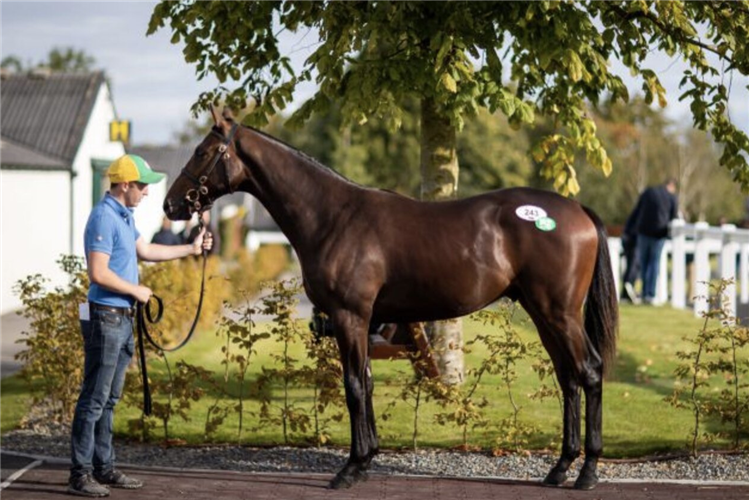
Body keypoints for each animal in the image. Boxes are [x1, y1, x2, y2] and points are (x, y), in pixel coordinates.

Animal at [165, 107, 620, 490]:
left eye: (203, 151)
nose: (171, 204)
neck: (333, 217)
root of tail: (577, 210)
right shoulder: (362, 321)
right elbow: (365, 382)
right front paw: (366, 460)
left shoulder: (349, 316)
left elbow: (352, 385)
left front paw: (349, 469)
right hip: (542, 313)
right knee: (568, 378)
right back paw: (559, 468)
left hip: (560, 313)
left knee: (589, 372)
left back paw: (587, 472)